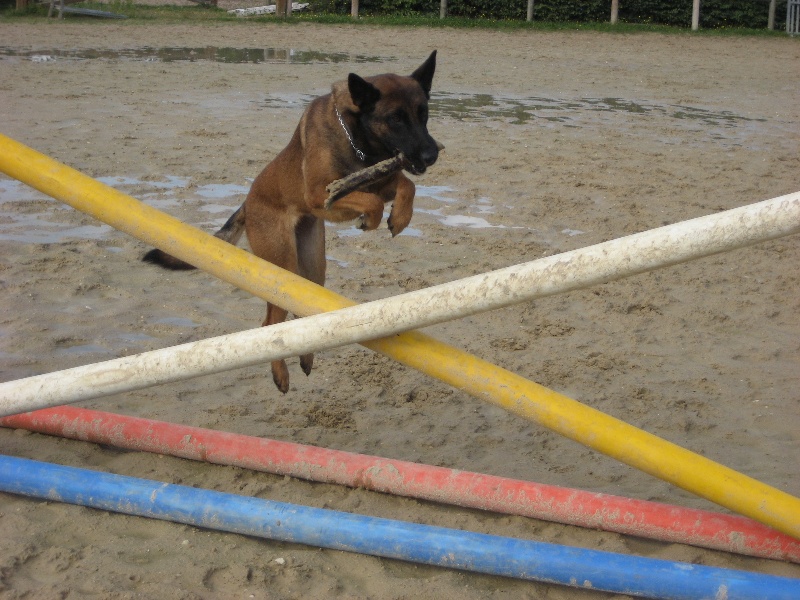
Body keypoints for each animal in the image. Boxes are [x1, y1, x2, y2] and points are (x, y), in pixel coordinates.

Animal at [145, 49, 444, 392]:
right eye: (396, 118)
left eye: (423, 114)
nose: (431, 154)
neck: (357, 137)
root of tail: (248, 204)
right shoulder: (319, 195)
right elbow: (372, 201)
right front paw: (372, 220)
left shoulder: (380, 180)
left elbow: (406, 185)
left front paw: (401, 217)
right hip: (283, 267)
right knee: (270, 323)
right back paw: (280, 374)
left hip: (312, 269)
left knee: (305, 320)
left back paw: (306, 358)